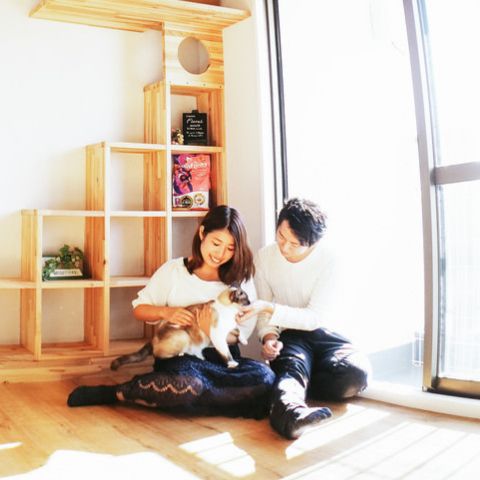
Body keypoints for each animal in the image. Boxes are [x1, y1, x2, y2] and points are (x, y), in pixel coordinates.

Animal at [110, 286, 251, 370]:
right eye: (246, 298)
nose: (251, 302)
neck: (230, 312)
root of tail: (153, 338)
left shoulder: (230, 328)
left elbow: (239, 330)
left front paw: (244, 341)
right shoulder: (218, 336)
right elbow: (227, 353)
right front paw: (232, 364)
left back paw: (200, 357)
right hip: (183, 335)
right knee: (160, 355)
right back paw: (181, 354)